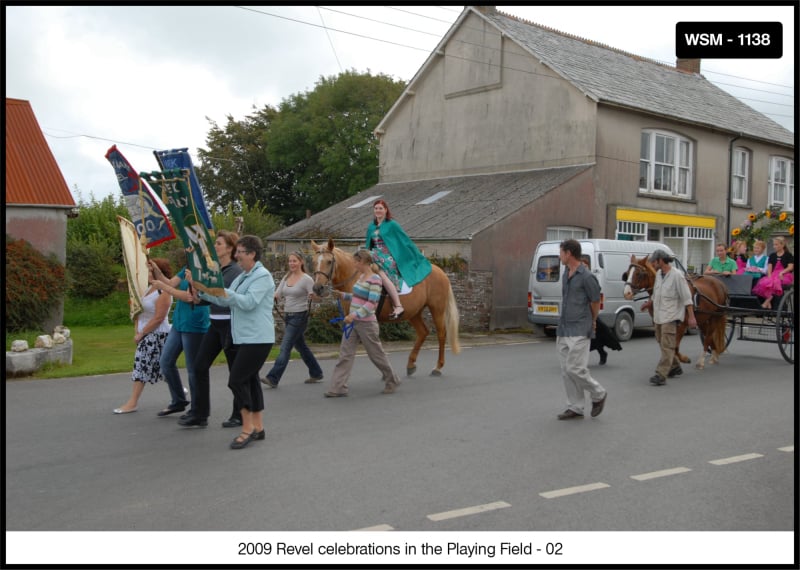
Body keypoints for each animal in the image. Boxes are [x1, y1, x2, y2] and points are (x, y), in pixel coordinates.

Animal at [312, 237, 462, 374]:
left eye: (329, 261)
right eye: (314, 261)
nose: (317, 288)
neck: (356, 277)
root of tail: (441, 272)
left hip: (437, 309)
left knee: (441, 334)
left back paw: (438, 367)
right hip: (414, 312)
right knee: (423, 332)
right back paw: (411, 364)